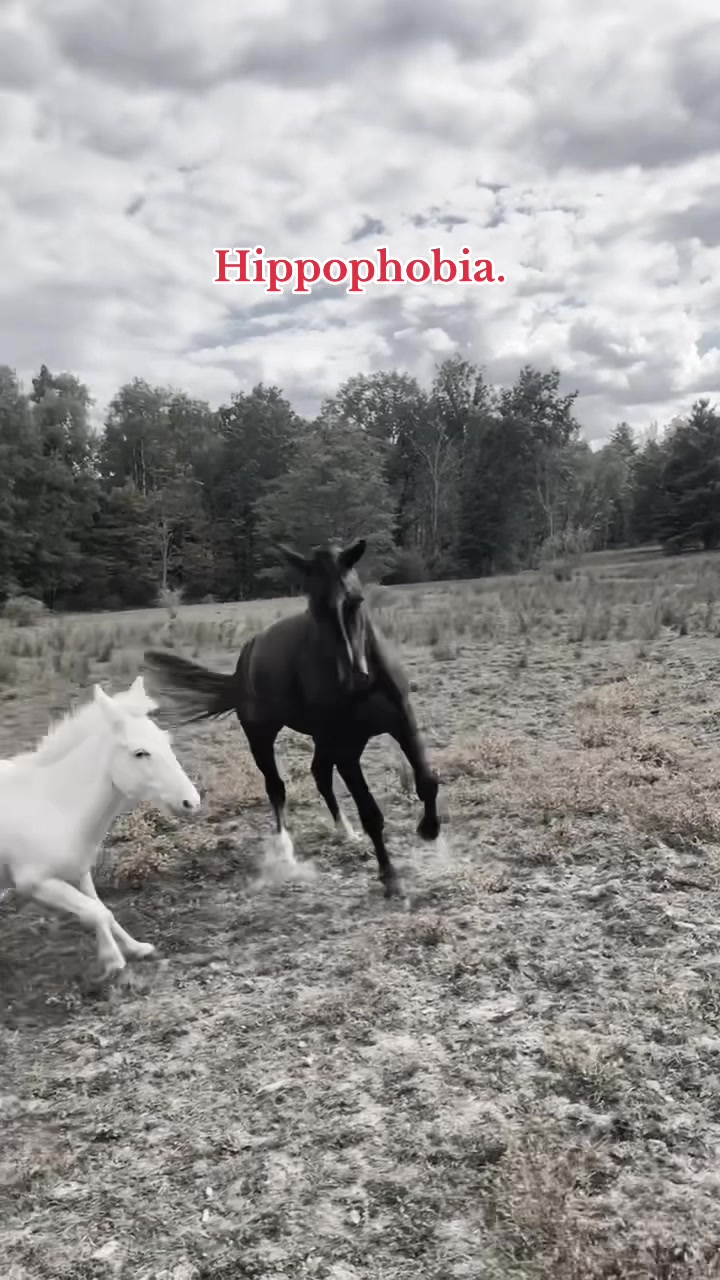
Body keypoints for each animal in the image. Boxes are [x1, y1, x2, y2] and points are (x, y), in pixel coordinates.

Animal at [0, 675, 201, 977]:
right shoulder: (35, 883)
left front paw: (137, 948)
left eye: (166, 741)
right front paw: (113, 962)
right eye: (140, 753)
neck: (53, 805)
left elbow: (101, 908)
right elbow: (96, 912)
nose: (191, 802)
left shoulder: (78, 873)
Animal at [143, 538, 440, 898]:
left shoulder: (402, 723)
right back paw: (286, 853)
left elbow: (427, 781)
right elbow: (370, 812)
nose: (355, 678)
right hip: (264, 738)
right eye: (314, 610)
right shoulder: (344, 748)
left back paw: (345, 832)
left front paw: (429, 831)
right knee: (277, 787)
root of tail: (245, 660)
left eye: (355, 601)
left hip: (330, 740)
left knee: (319, 774)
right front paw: (389, 876)